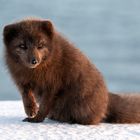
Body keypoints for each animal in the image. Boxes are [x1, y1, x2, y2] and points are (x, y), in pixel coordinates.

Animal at [3, 18, 140, 123]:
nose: (34, 61)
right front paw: (30, 110)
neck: (34, 72)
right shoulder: (21, 80)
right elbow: (26, 94)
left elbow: (45, 105)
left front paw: (36, 119)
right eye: (22, 46)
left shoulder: (52, 85)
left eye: (40, 45)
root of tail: (107, 99)